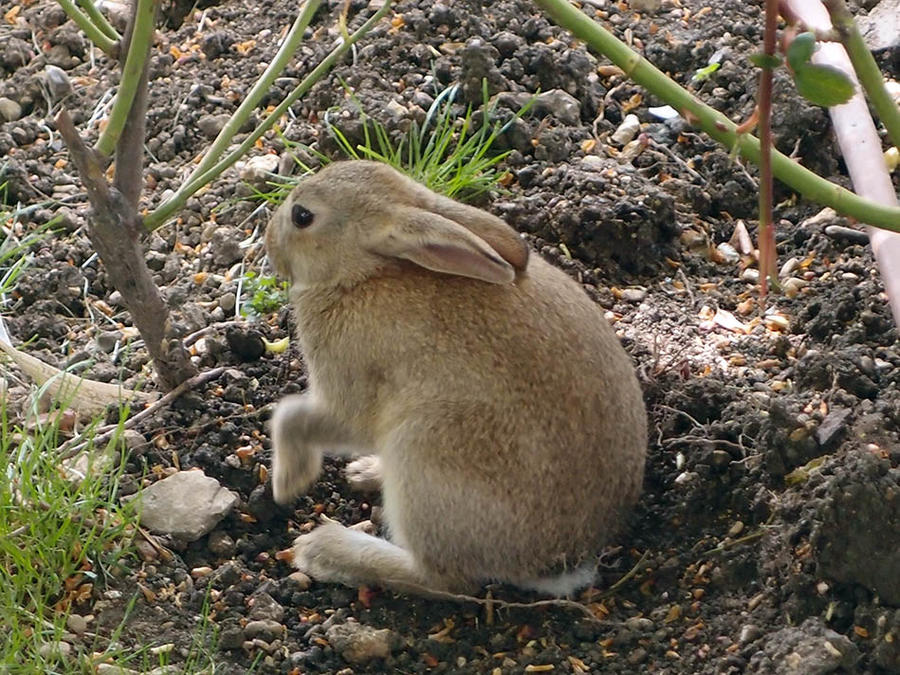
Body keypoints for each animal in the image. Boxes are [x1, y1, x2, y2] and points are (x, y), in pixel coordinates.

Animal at [264, 160, 644, 596]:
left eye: (302, 216)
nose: (269, 242)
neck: (366, 274)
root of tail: (559, 563)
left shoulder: (350, 388)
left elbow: (293, 415)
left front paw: (288, 483)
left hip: (423, 448)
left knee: (443, 579)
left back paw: (324, 550)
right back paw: (365, 473)